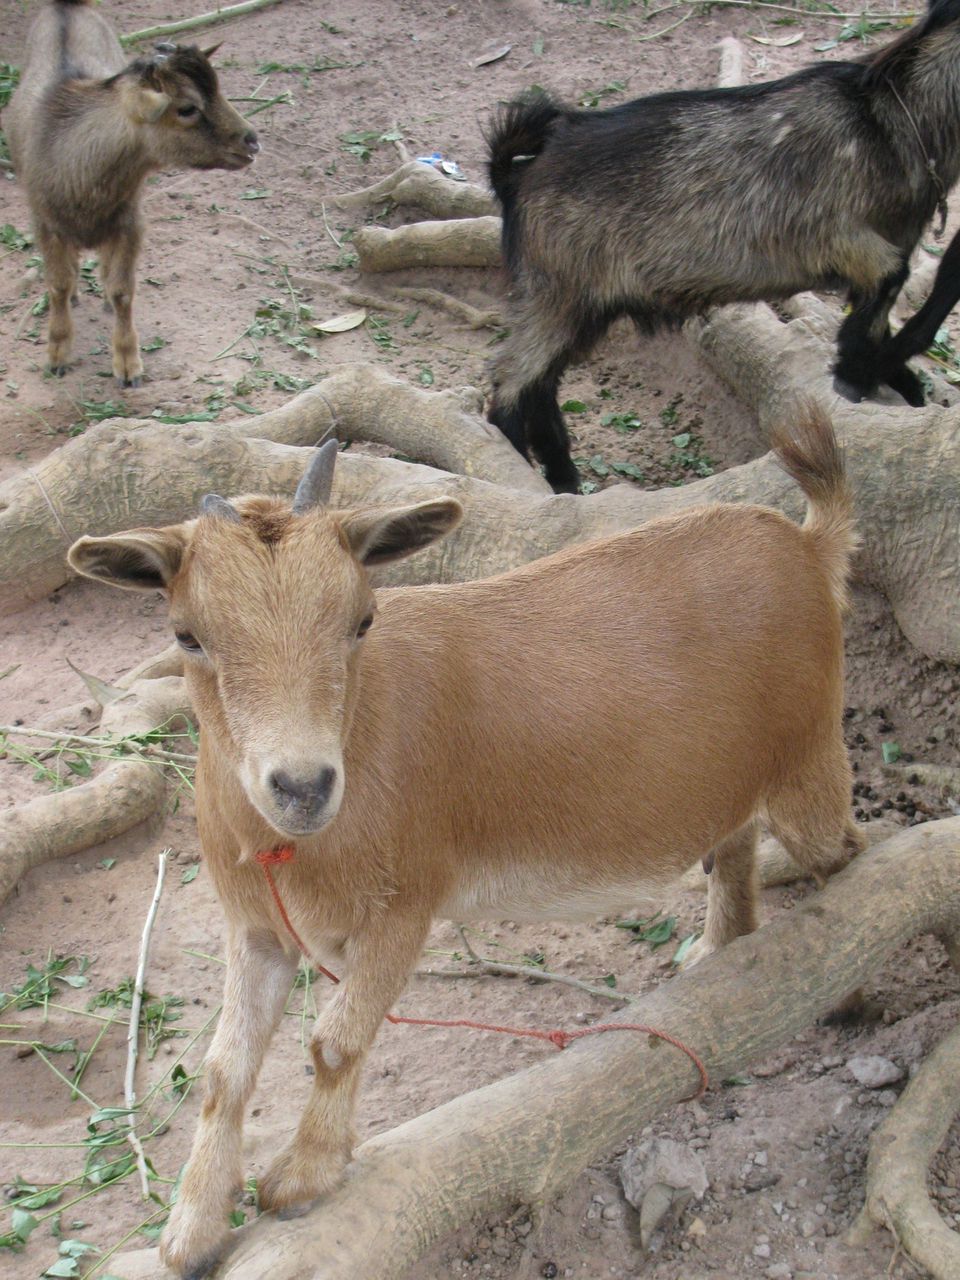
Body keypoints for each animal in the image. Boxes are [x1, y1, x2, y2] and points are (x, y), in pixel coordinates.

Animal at [6, 0, 259, 386]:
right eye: (187, 108)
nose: (251, 141)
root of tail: (68, 5)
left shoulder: (129, 221)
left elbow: (123, 290)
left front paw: (128, 366)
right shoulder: (45, 222)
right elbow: (58, 284)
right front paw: (57, 356)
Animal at [69, 407, 863, 1279]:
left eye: (362, 619)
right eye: (187, 635)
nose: (303, 787)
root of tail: (807, 546)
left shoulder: (405, 903)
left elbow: (334, 1042)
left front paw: (300, 1180)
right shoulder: (258, 928)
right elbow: (223, 1069)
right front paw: (191, 1228)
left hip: (811, 759)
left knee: (847, 855)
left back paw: (846, 987)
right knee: (736, 836)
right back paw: (723, 948)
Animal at [486, 0, 960, 492]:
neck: (888, 121)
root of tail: (515, 175)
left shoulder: (888, 244)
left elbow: (881, 311)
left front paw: (894, 381)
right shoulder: (832, 235)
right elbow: (891, 281)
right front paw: (854, 375)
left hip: (583, 306)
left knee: (540, 385)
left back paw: (563, 481)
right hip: (558, 292)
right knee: (511, 383)